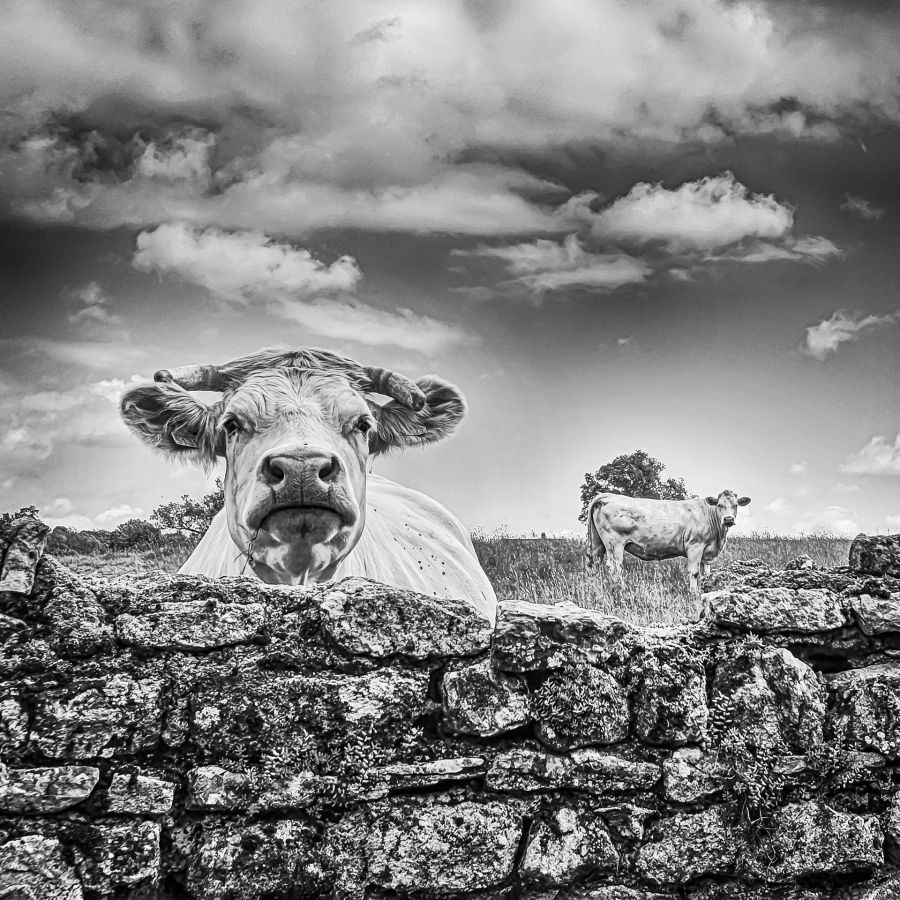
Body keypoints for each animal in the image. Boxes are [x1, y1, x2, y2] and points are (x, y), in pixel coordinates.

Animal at [586, 490, 751, 594]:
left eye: (736, 505)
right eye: (719, 505)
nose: (728, 519)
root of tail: (609, 496)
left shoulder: (706, 552)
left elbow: (706, 574)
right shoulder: (695, 546)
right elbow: (694, 572)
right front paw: (693, 592)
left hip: (597, 543)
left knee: (595, 563)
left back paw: (595, 585)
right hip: (614, 544)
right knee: (614, 566)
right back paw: (620, 588)